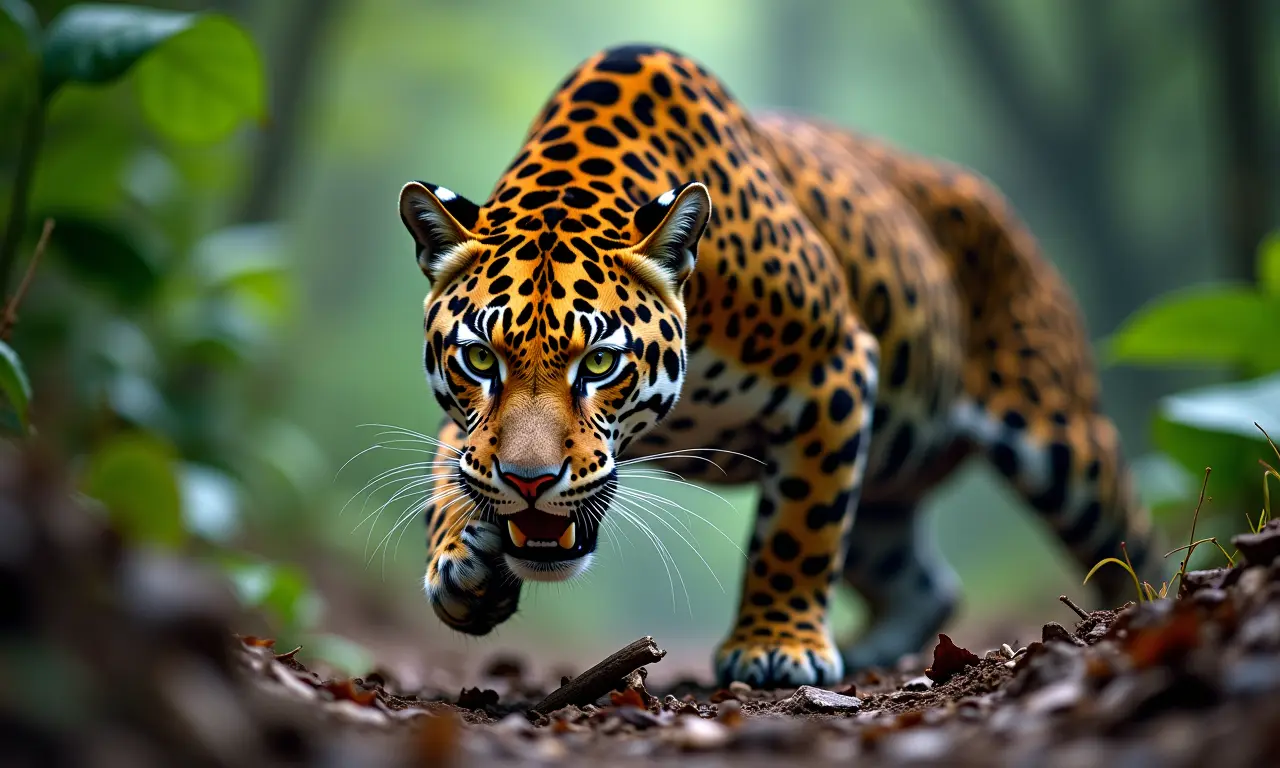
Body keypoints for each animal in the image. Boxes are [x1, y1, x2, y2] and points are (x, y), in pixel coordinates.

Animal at [398, 44, 1159, 688]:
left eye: (601, 363)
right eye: (479, 358)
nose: (529, 483)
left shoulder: (837, 370)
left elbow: (799, 528)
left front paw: (774, 647)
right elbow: (450, 468)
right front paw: (460, 566)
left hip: (1062, 436)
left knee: (1128, 533)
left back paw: (1143, 614)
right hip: (881, 487)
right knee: (927, 583)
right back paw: (873, 652)